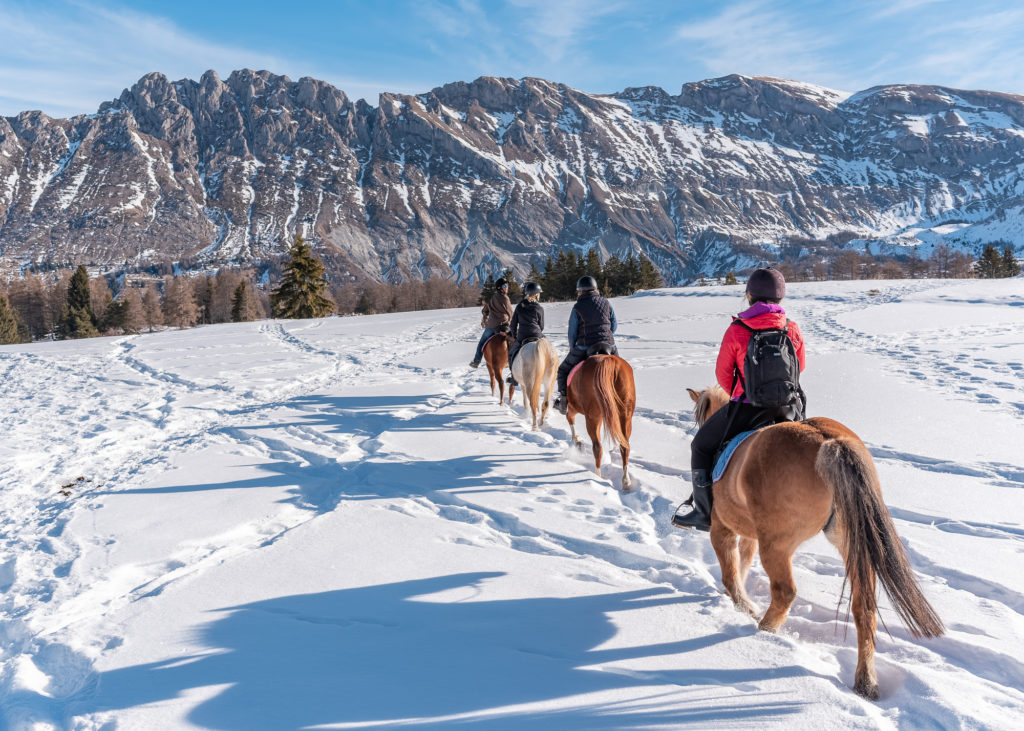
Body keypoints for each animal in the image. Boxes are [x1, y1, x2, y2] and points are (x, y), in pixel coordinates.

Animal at [565, 354, 634, 489]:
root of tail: (608, 361)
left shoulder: (573, 407)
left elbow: (569, 417)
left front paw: (577, 441)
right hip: (625, 415)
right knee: (625, 447)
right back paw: (626, 481)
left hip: (592, 417)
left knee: (597, 447)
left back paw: (597, 476)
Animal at [688, 384, 942, 696]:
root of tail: (830, 442)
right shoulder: (748, 535)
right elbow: (741, 566)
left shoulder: (721, 529)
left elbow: (731, 574)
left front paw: (743, 608)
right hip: (851, 545)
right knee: (865, 608)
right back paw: (866, 681)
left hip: (777, 546)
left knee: (785, 592)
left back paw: (764, 632)